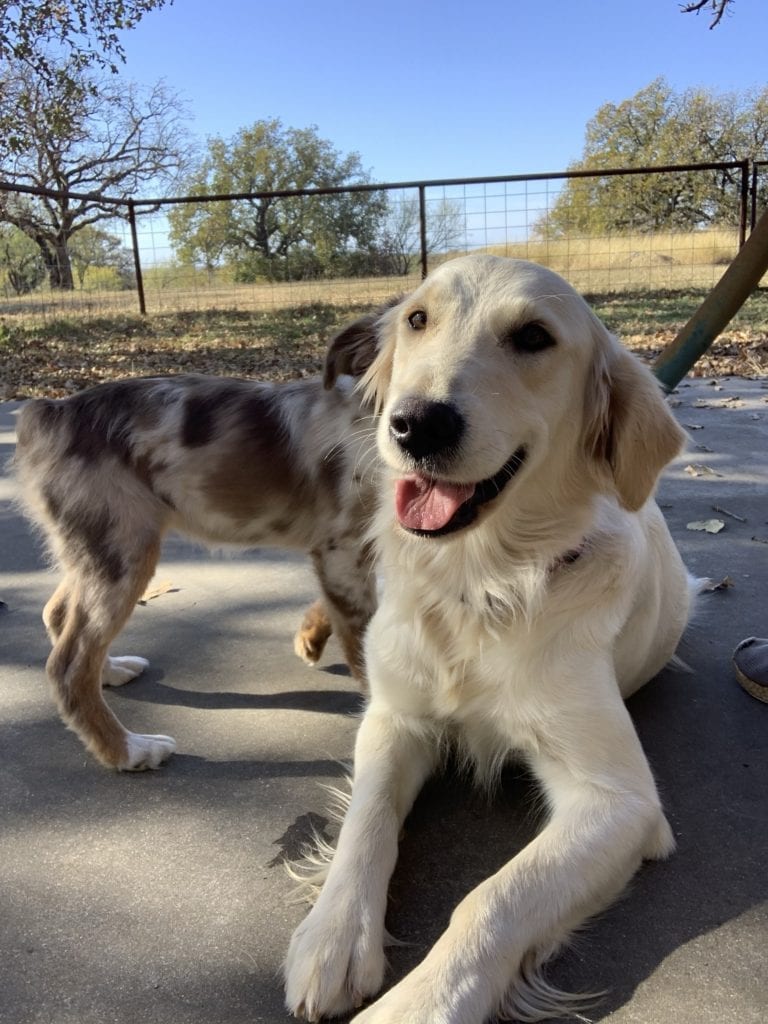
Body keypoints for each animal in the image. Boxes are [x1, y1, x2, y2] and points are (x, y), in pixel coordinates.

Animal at [286, 253, 696, 1015]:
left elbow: (492, 899)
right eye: (417, 319)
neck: (476, 585)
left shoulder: (622, 804)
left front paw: (420, 1005)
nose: (416, 423)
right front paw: (332, 936)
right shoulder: (394, 719)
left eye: (534, 337)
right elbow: (366, 823)